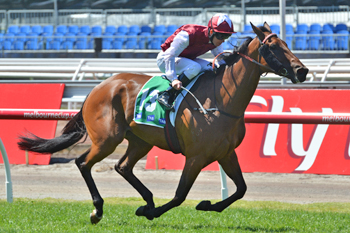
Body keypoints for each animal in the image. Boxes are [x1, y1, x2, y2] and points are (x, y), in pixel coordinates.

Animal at [17, 22, 306, 224]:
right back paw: (99, 210)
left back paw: (148, 201)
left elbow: (241, 189)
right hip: (107, 139)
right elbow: (180, 195)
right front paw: (152, 212)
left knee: (122, 167)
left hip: (140, 141)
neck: (221, 100)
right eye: (273, 47)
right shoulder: (196, 156)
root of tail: (99, 86)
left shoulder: (225, 153)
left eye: (287, 43)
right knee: (83, 163)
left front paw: (206, 205)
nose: (302, 70)